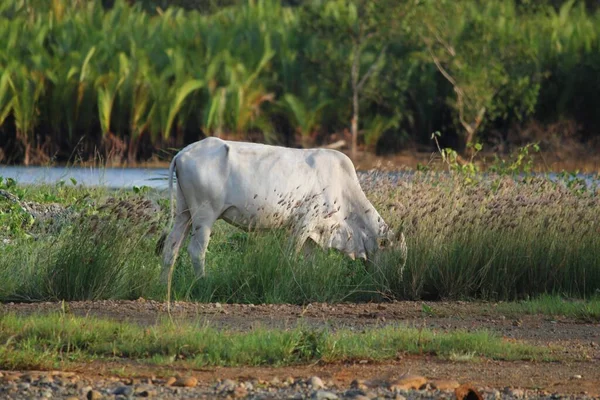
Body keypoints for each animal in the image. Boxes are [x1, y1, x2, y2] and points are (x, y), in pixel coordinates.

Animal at [156, 138, 408, 282]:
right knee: (196, 251)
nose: (396, 283)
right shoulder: (303, 223)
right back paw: (203, 282)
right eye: (399, 259)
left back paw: (164, 284)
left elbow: (309, 261)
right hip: (204, 216)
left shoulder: (315, 231)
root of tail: (182, 153)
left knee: (171, 249)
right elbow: (290, 256)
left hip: (184, 214)